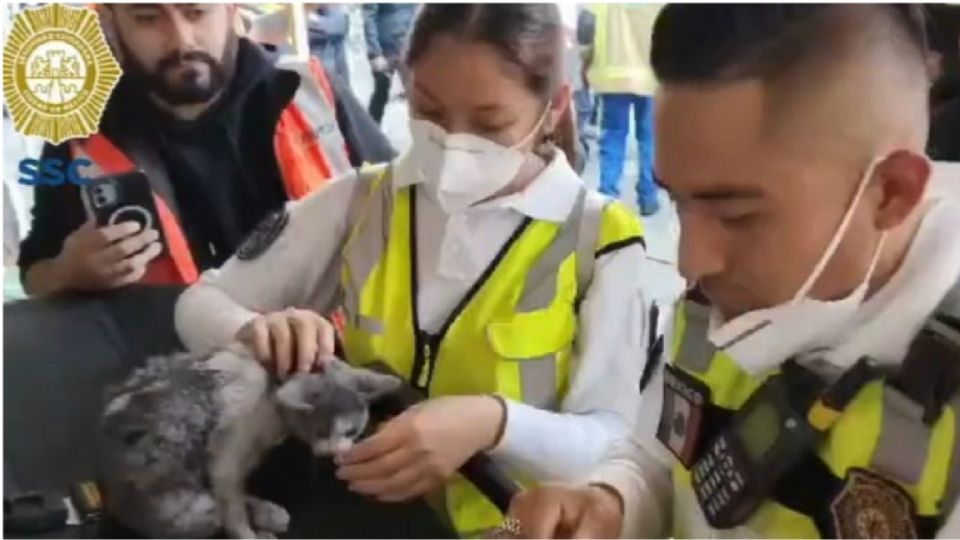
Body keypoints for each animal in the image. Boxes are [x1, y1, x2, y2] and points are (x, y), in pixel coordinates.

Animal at [95, 346, 400, 540]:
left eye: (351, 432)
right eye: (322, 431)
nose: (332, 452)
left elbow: (233, 493)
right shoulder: (226, 456)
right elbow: (233, 511)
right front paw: (248, 532)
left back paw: (267, 513)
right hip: (187, 507)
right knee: (213, 510)